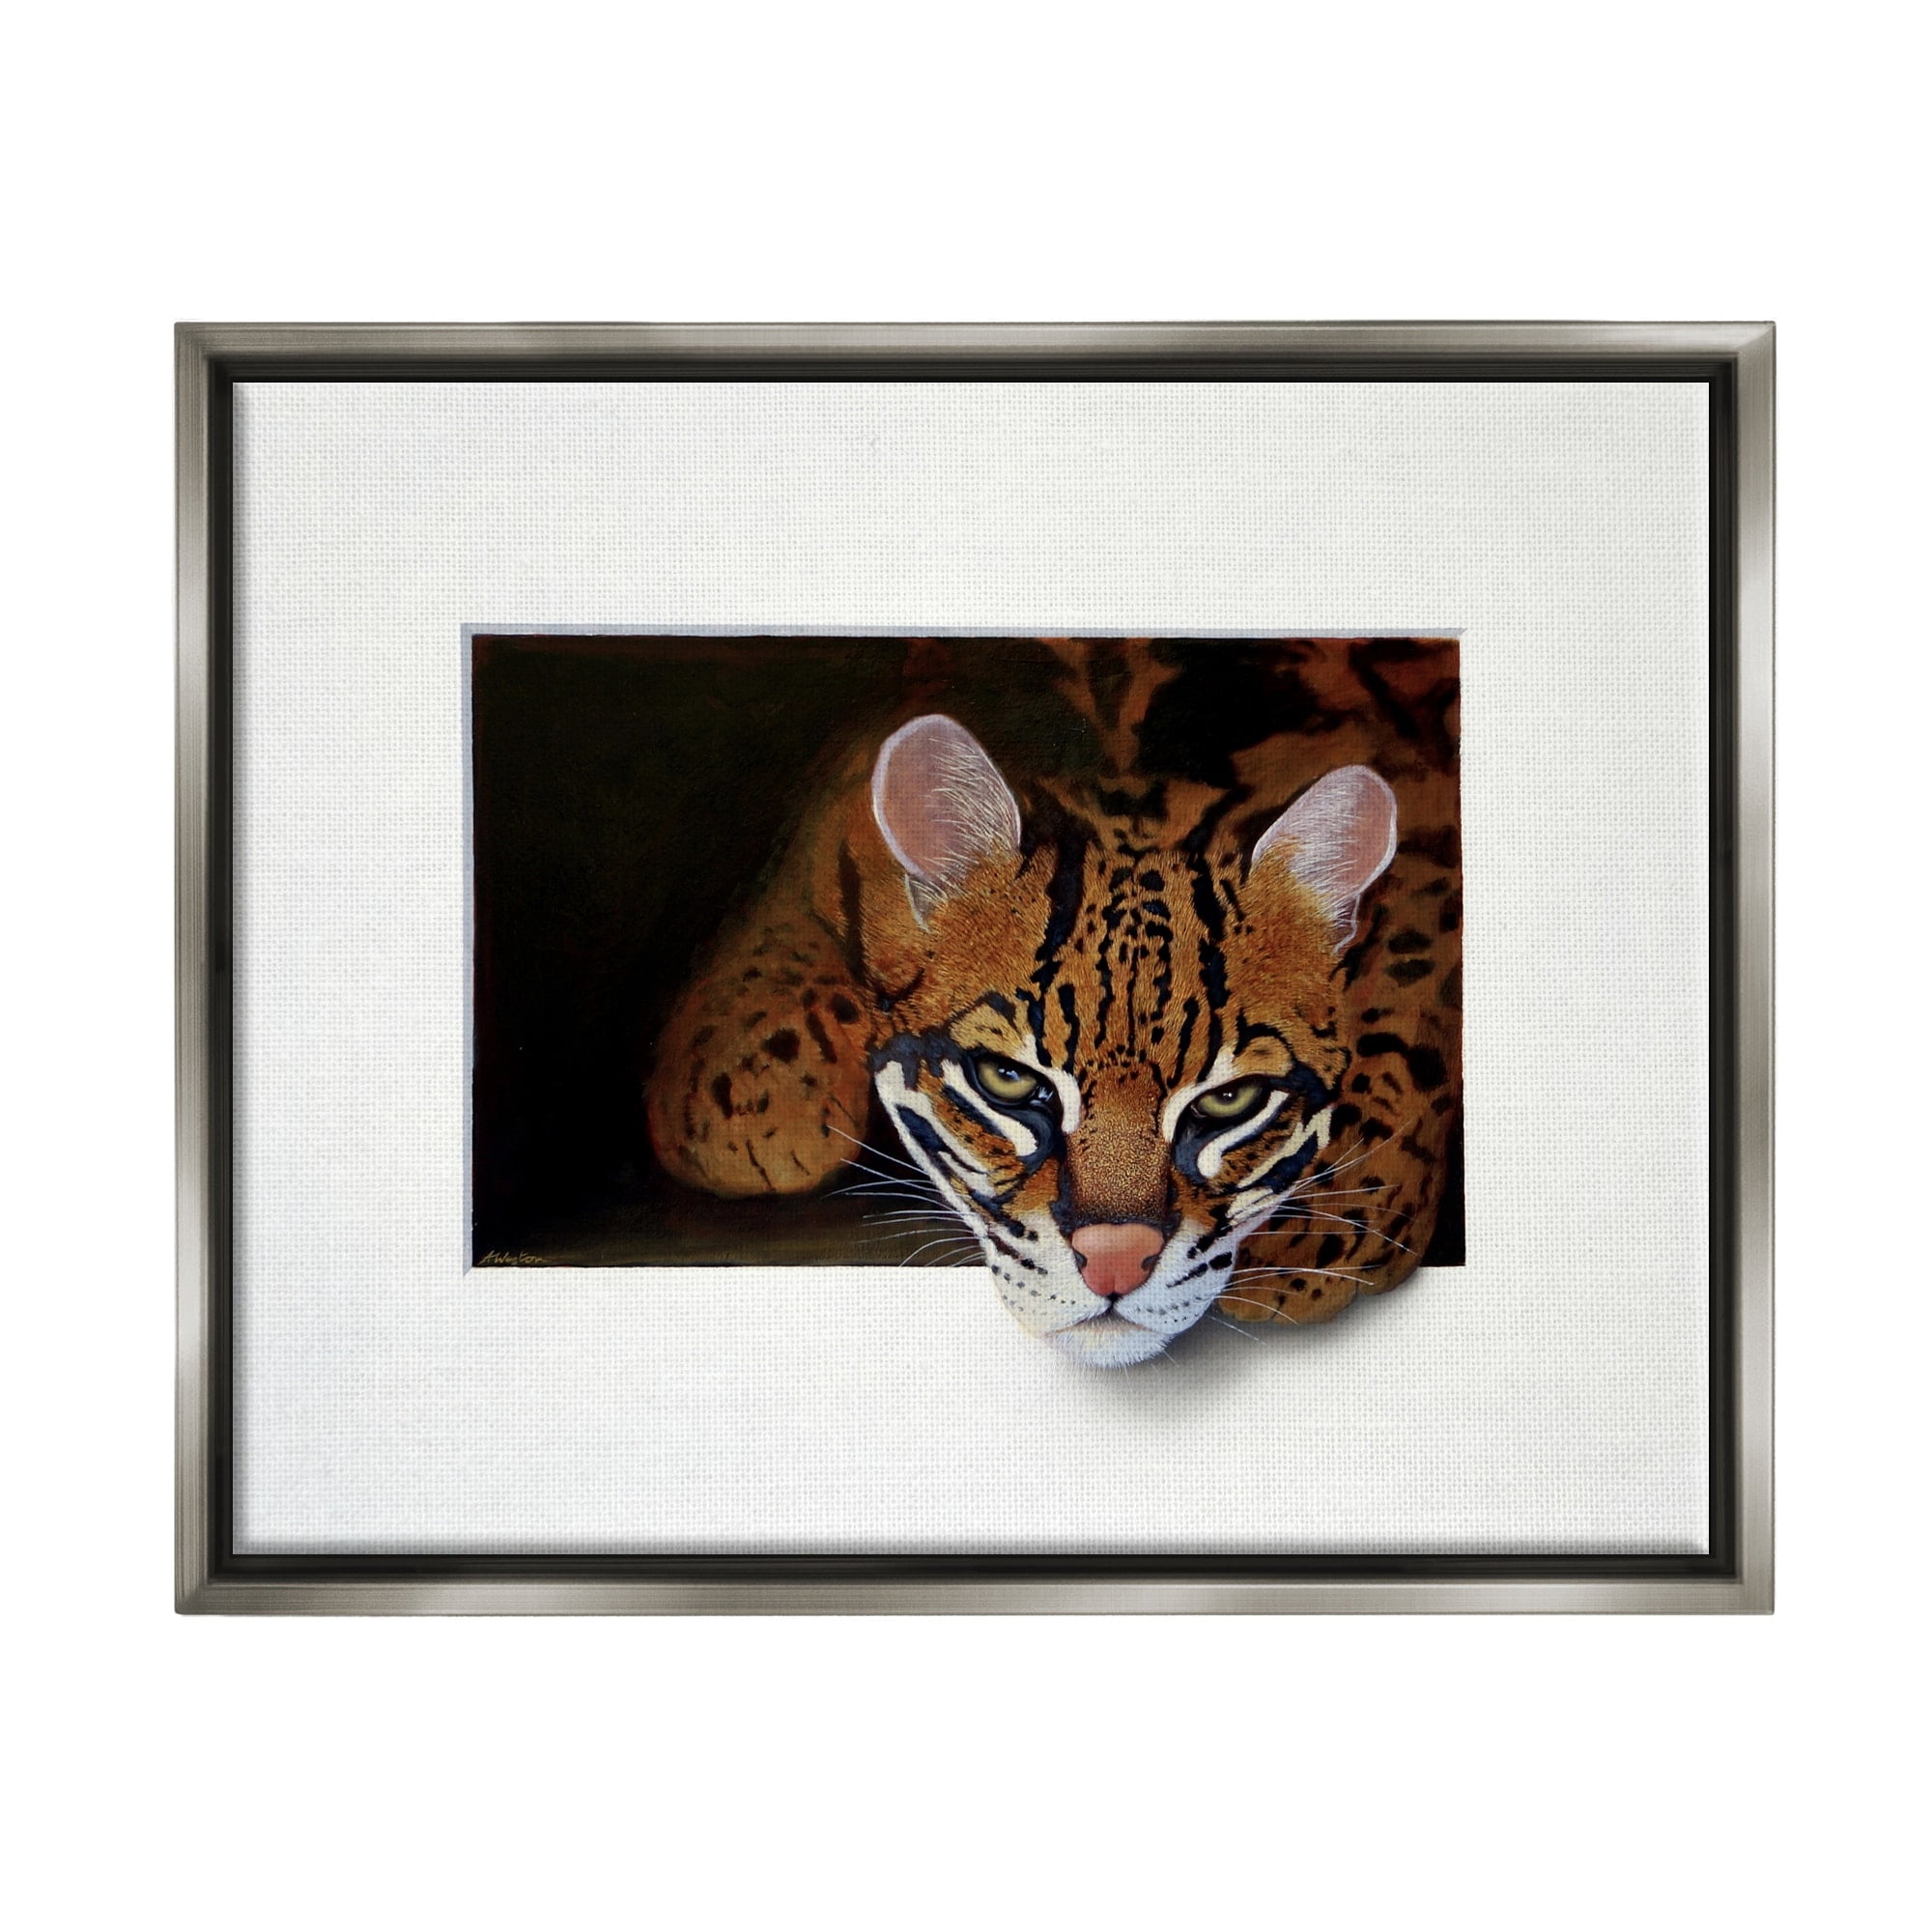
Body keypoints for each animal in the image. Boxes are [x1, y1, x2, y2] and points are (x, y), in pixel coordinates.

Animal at [644, 637, 1461, 1367]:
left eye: (1231, 1101)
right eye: (1007, 1081)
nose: (1115, 1266)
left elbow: (1415, 994)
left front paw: (1331, 1215)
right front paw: (747, 1086)